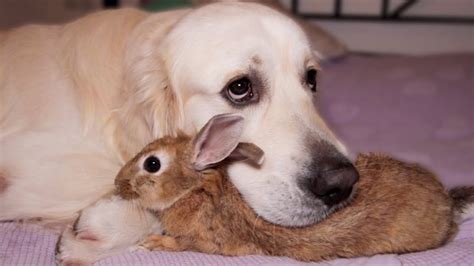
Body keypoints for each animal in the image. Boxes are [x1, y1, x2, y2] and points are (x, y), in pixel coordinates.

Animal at [115, 112, 474, 262]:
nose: (118, 184)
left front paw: (150, 244)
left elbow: (183, 244)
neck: (192, 188)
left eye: (152, 164)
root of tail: (446, 204)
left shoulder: (204, 240)